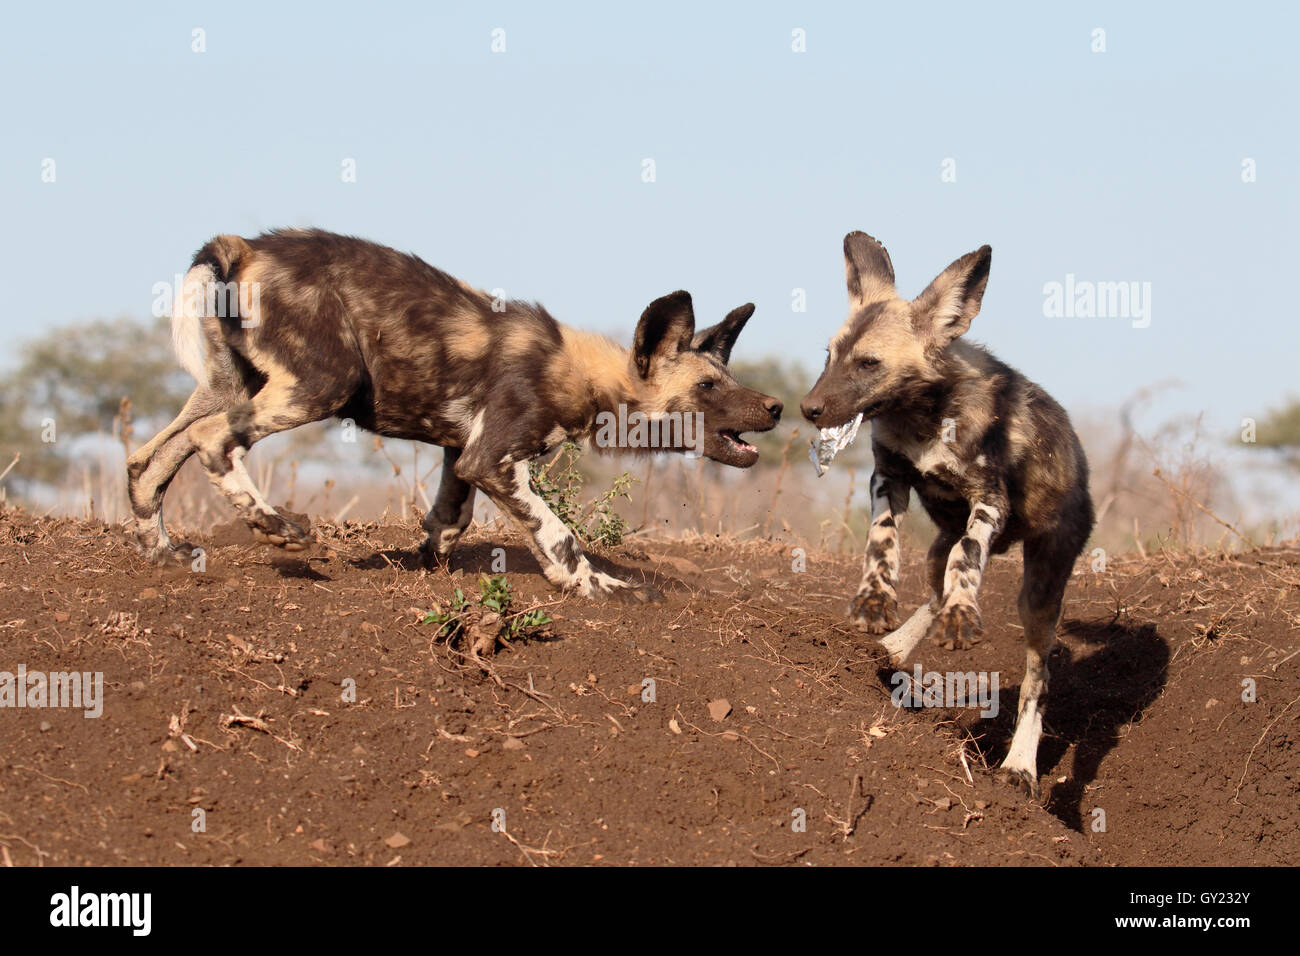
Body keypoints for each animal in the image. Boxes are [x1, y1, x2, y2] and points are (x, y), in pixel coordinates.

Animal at [129, 228, 780, 600]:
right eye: (706, 386)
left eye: (729, 380)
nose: (774, 407)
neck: (582, 372)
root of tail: (245, 244)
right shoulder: (492, 460)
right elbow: (560, 536)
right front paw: (597, 585)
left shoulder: (460, 453)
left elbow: (449, 520)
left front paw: (423, 565)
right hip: (321, 385)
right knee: (213, 440)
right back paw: (276, 526)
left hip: (232, 385)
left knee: (148, 458)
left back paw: (162, 553)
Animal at [795, 234, 1092, 801]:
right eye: (830, 355)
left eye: (868, 363)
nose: (809, 408)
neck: (924, 417)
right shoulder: (889, 478)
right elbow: (881, 543)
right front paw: (874, 602)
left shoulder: (988, 503)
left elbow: (968, 559)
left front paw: (961, 613)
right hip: (940, 547)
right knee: (933, 586)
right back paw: (889, 649)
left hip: (1040, 595)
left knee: (1037, 682)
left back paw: (1020, 767)